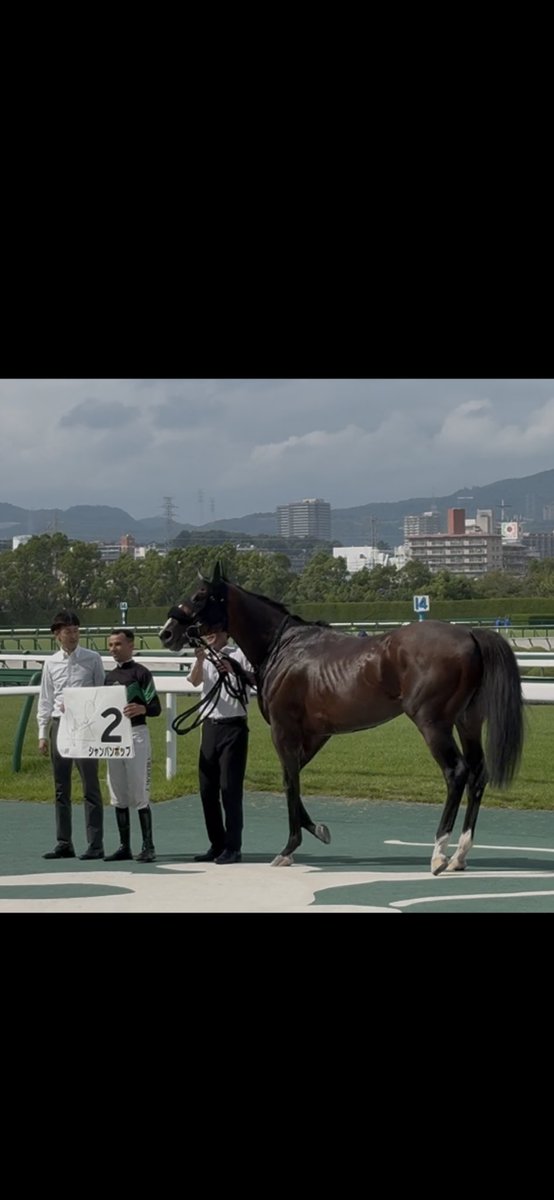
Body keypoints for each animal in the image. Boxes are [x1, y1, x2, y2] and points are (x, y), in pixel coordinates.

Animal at [159, 563, 525, 875]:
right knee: (477, 774)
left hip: (433, 724)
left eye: (199, 596)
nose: (167, 633)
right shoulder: (316, 735)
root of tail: (470, 634)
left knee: (456, 772)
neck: (283, 649)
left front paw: (288, 849)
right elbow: (291, 779)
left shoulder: (284, 731)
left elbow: (290, 782)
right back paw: (460, 856)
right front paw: (318, 829)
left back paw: (438, 854)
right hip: (467, 722)